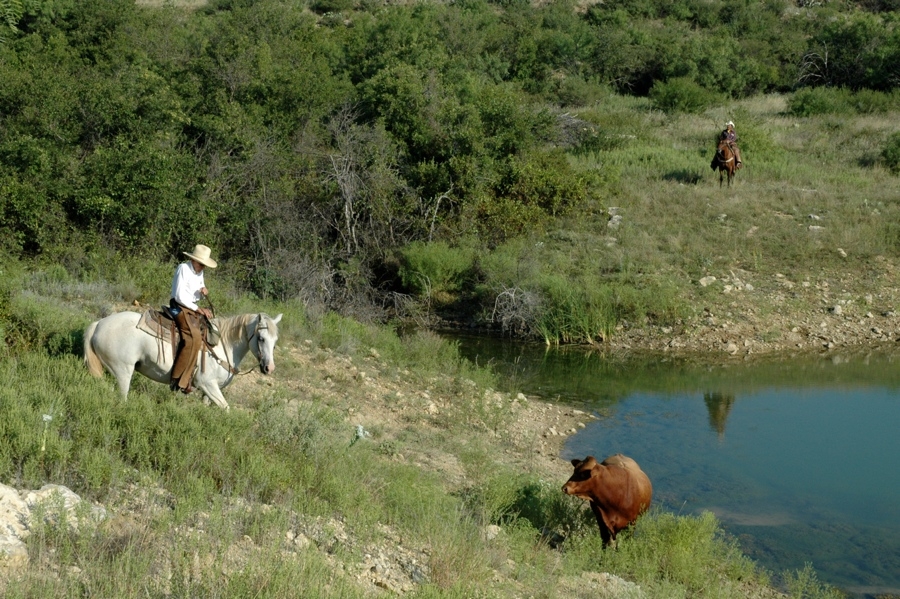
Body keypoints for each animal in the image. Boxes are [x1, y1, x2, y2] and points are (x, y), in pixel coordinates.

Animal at [85, 312, 284, 410]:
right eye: (261, 338)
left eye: (275, 341)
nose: (270, 368)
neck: (222, 345)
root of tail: (99, 324)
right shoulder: (207, 384)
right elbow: (226, 408)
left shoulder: (209, 392)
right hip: (123, 372)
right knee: (121, 396)